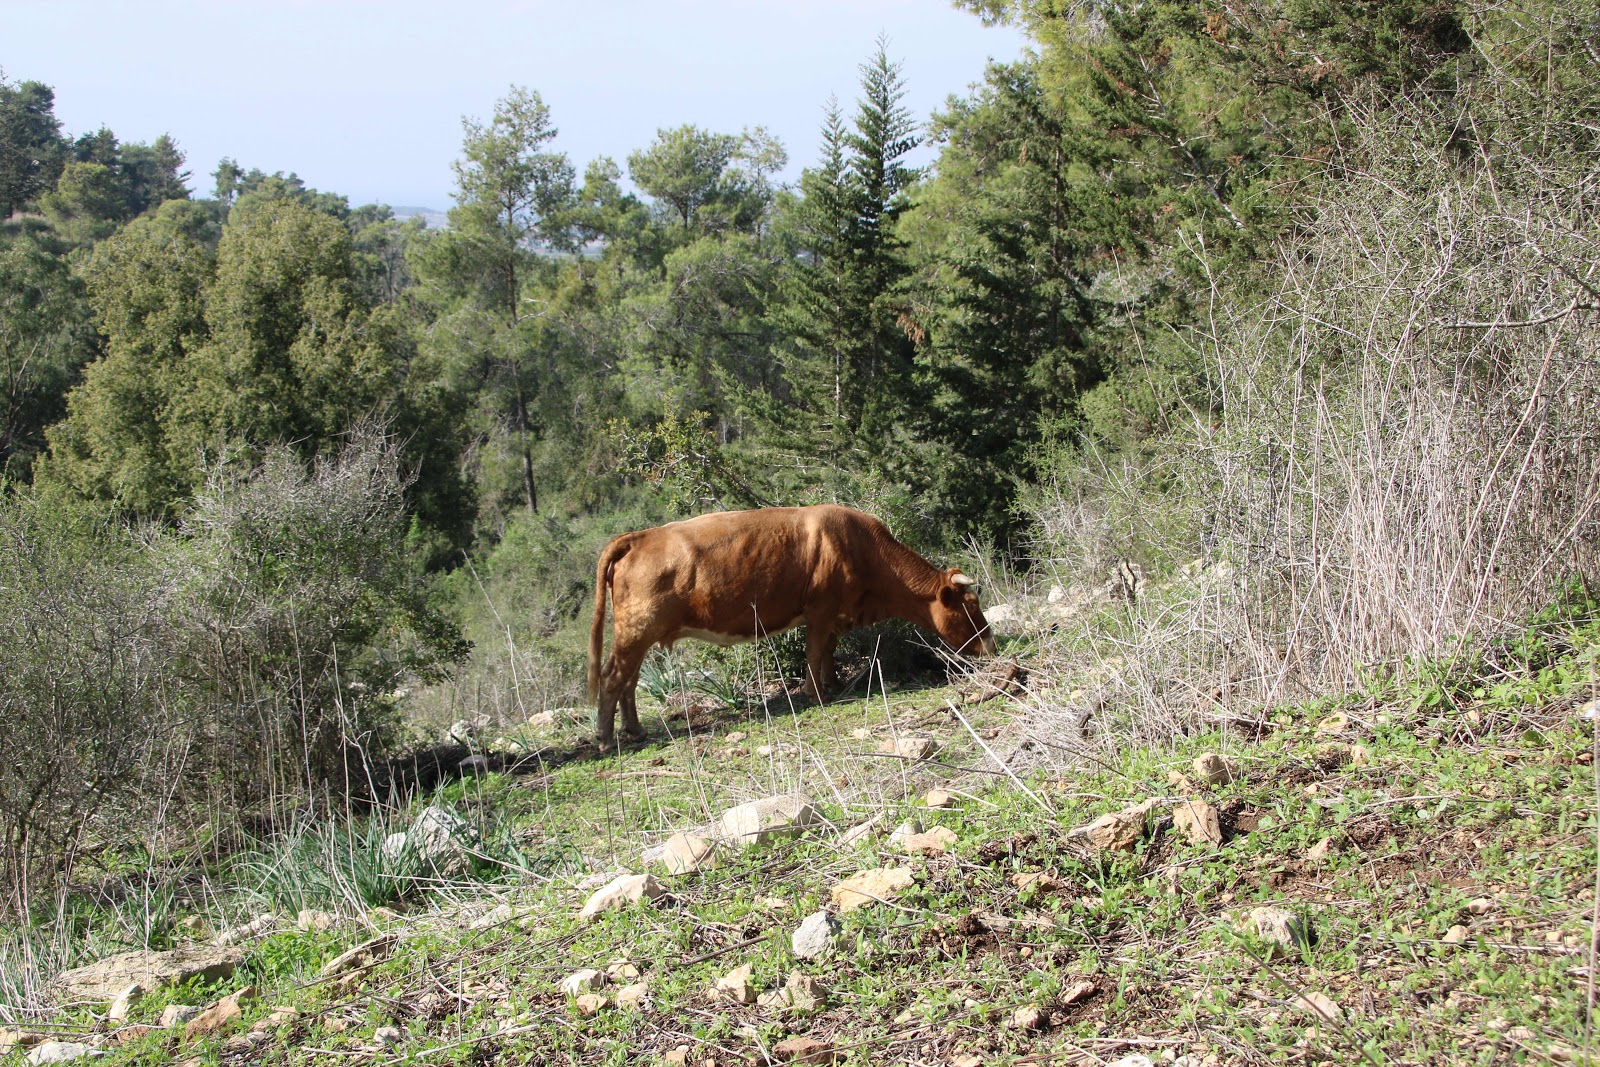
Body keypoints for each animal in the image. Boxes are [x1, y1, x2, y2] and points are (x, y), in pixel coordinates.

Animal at [582, 508, 992, 742]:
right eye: (971, 606)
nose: (991, 644)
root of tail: (639, 537)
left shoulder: (832, 615)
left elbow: (828, 651)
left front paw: (833, 684)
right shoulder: (820, 610)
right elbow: (814, 651)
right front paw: (816, 693)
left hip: (637, 635)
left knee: (629, 680)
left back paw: (633, 730)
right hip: (636, 630)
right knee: (614, 678)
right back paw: (604, 738)